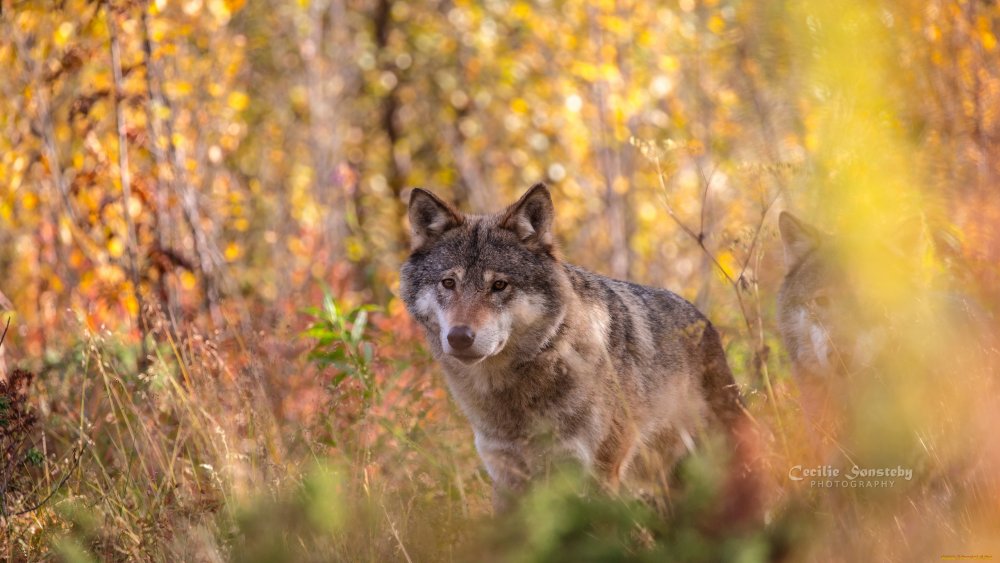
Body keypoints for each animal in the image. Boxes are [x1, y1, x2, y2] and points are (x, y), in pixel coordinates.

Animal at [398, 185, 744, 512]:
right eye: (448, 283)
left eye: (499, 285)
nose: (459, 337)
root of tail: (703, 320)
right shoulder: (506, 475)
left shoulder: (598, 472)